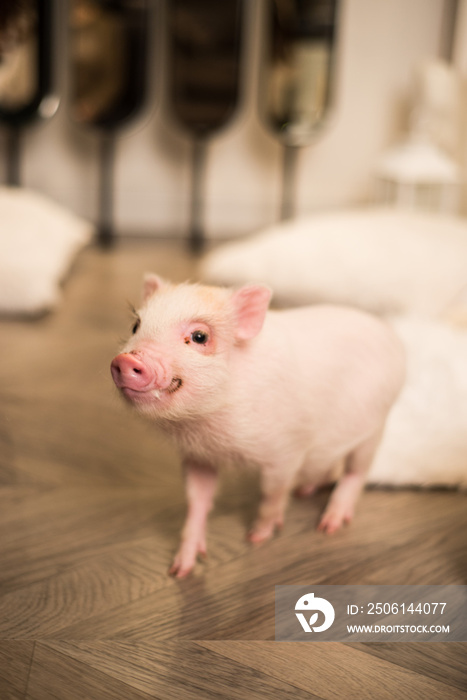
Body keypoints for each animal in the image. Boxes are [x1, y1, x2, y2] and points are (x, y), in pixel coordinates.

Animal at [110, 276, 406, 576]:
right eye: (136, 326)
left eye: (199, 337)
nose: (126, 360)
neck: (209, 428)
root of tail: (392, 338)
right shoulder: (198, 456)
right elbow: (197, 500)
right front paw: (181, 570)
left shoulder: (286, 451)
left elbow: (271, 494)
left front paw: (256, 537)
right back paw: (304, 491)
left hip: (376, 424)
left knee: (357, 472)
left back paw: (328, 525)